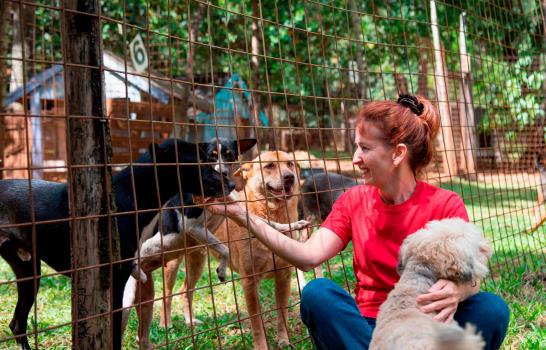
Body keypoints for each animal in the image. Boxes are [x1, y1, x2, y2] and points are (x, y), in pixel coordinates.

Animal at [0, 137, 255, 350]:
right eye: (203, 161)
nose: (231, 185)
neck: (131, 194)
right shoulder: (116, 280)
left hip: (29, 272)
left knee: (17, 324)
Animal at [159, 151, 300, 350]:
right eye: (269, 166)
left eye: (290, 164)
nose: (290, 177)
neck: (272, 213)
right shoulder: (250, 281)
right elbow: (257, 323)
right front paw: (261, 346)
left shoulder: (284, 276)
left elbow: (282, 313)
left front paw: (284, 340)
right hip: (171, 262)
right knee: (166, 294)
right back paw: (166, 325)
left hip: (197, 261)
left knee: (185, 290)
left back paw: (190, 321)